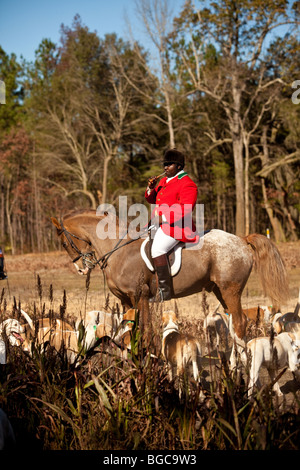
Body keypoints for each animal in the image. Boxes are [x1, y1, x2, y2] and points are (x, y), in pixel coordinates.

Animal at [51, 209, 288, 342]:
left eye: (63, 243)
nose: (82, 269)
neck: (118, 250)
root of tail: (241, 239)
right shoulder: (126, 300)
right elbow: (129, 329)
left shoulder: (140, 297)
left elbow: (145, 330)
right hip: (221, 292)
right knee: (236, 323)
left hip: (231, 290)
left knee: (239, 324)